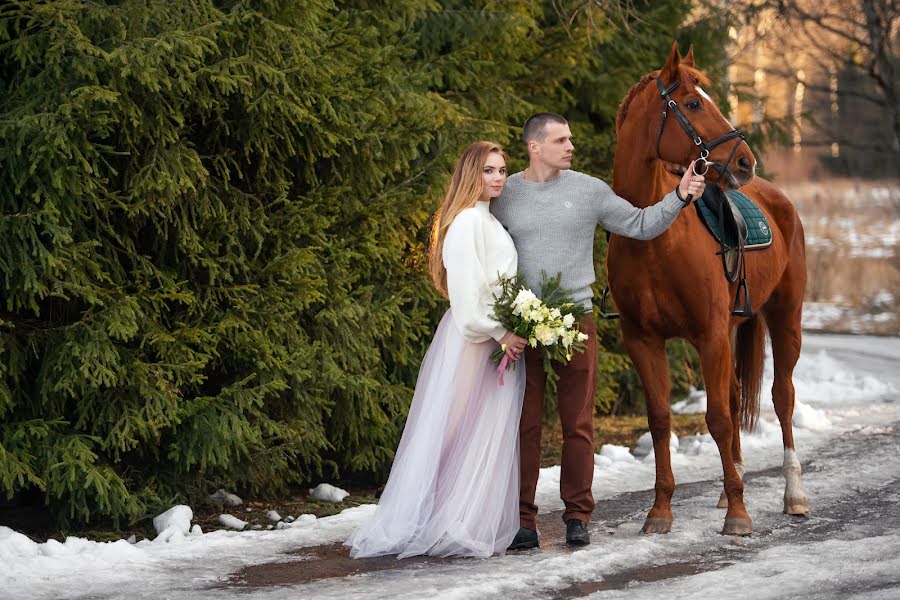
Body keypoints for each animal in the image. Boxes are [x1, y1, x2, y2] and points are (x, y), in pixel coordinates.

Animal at [612, 44, 808, 536]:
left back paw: (793, 494)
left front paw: (739, 515)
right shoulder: (643, 340)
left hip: (785, 319)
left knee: (782, 397)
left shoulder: (708, 335)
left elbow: (717, 418)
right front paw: (660, 511)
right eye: (693, 103)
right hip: (736, 329)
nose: (744, 161)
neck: (651, 236)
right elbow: (661, 420)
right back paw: (729, 482)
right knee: (737, 398)